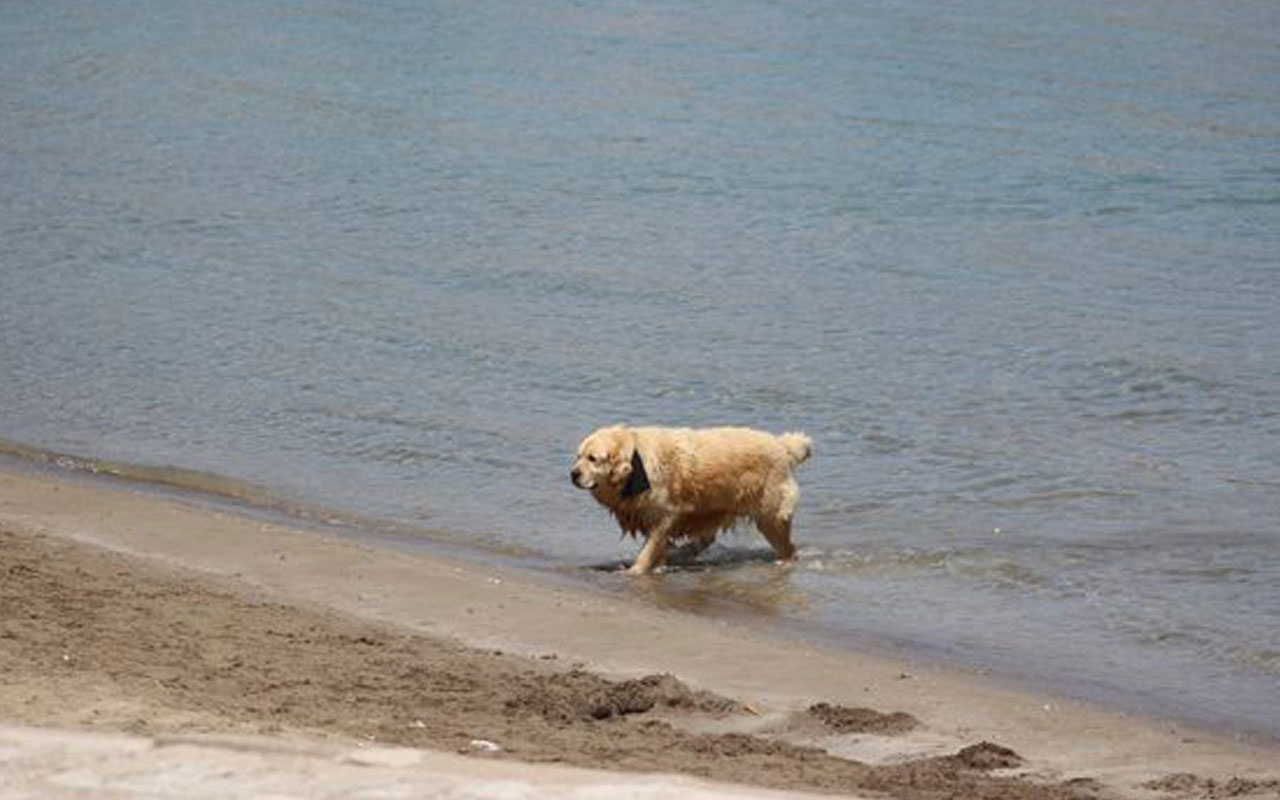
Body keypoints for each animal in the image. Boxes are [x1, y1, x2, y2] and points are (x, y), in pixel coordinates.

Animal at [568, 424, 808, 573]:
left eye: (593, 458)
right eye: (578, 456)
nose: (573, 474)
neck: (636, 465)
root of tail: (782, 444)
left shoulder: (665, 515)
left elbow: (649, 549)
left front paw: (635, 570)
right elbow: (657, 547)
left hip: (771, 515)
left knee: (789, 548)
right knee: (706, 538)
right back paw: (685, 552)